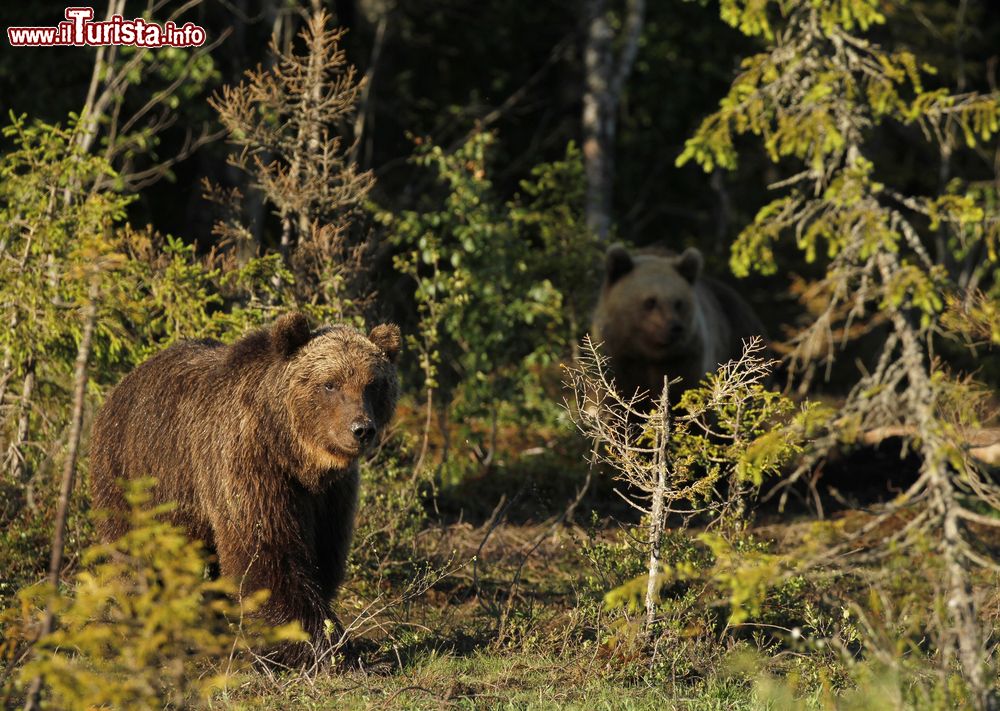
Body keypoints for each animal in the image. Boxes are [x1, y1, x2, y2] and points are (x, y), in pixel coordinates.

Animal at [90, 312, 400, 668]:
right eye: (330, 383)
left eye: (373, 384)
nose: (361, 429)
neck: (293, 453)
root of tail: (120, 385)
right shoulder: (249, 465)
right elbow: (267, 552)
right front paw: (319, 644)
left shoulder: (331, 496)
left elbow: (324, 554)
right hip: (132, 475)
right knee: (134, 552)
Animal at [588, 245, 760, 408]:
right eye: (650, 301)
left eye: (678, 303)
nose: (675, 327)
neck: (650, 357)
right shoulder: (619, 363)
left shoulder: (686, 363)